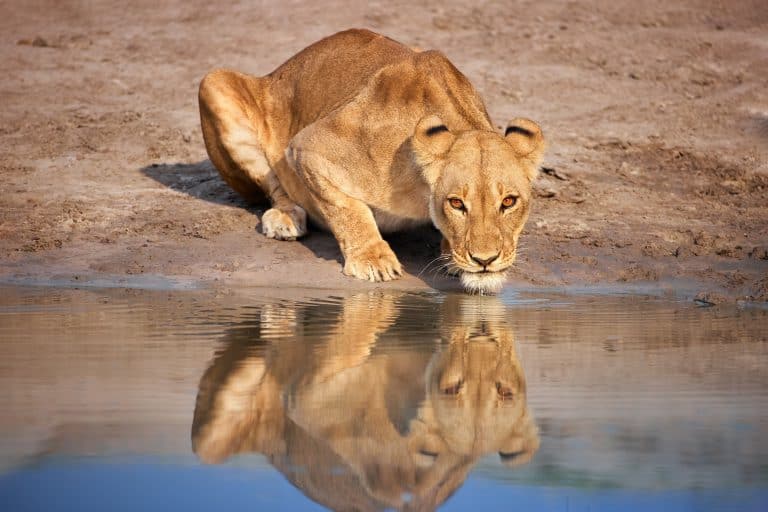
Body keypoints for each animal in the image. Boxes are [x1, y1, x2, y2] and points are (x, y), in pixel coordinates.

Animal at [199, 29, 545, 294]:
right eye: (456, 203)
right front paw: (373, 260)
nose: (485, 261)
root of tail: (276, 71)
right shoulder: (309, 147)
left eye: (509, 201)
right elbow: (347, 208)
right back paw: (285, 218)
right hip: (213, 81)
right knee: (273, 184)